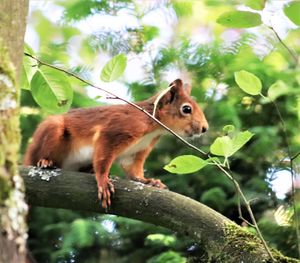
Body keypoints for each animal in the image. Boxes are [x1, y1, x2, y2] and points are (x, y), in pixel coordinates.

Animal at [24, 78, 209, 208]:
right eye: (186, 109)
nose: (204, 128)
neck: (153, 126)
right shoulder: (117, 131)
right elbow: (103, 159)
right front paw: (103, 180)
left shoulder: (137, 150)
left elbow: (133, 169)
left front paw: (148, 181)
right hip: (52, 131)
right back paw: (45, 161)